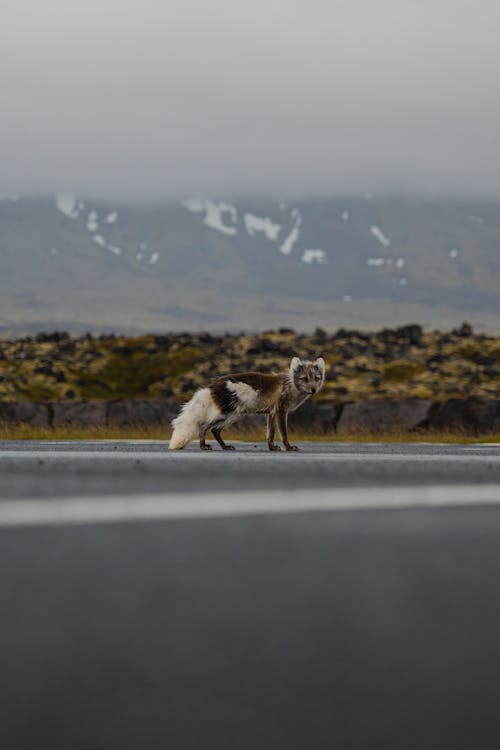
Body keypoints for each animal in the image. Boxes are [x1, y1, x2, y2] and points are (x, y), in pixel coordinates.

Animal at [169, 358, 324, 452]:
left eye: (317, 378)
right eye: (304, 379)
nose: (313, 390)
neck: (291, 385)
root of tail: (211, 386)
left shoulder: (271, 413)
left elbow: (271, 433)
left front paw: (272, 448)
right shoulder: (281, 410)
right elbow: (283, 433)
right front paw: (289, 447)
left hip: (234, 415)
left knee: (215, 430)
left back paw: (225, 447)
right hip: (228, 413)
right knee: (204, 426)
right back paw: (203, 446)